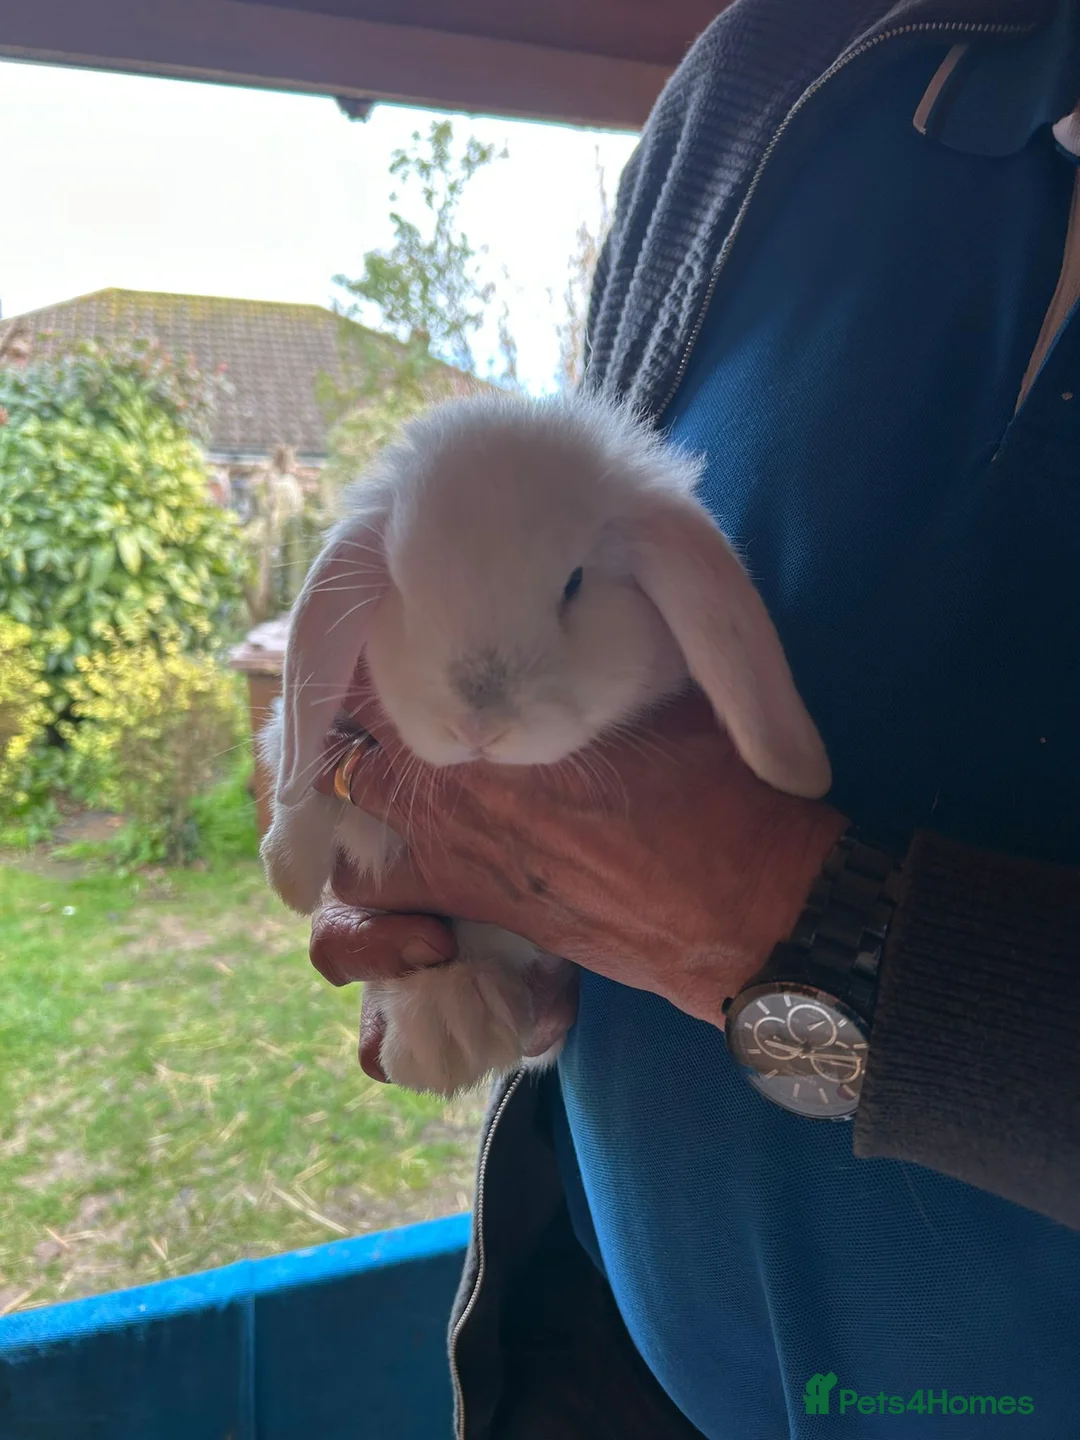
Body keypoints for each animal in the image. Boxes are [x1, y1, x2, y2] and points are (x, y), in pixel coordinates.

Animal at [259, 391, 831, 1096]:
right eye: (405, 589)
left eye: (575, 582)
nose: (479, 727)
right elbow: (299, 757)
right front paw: (289, 873)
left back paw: (448, 1028)